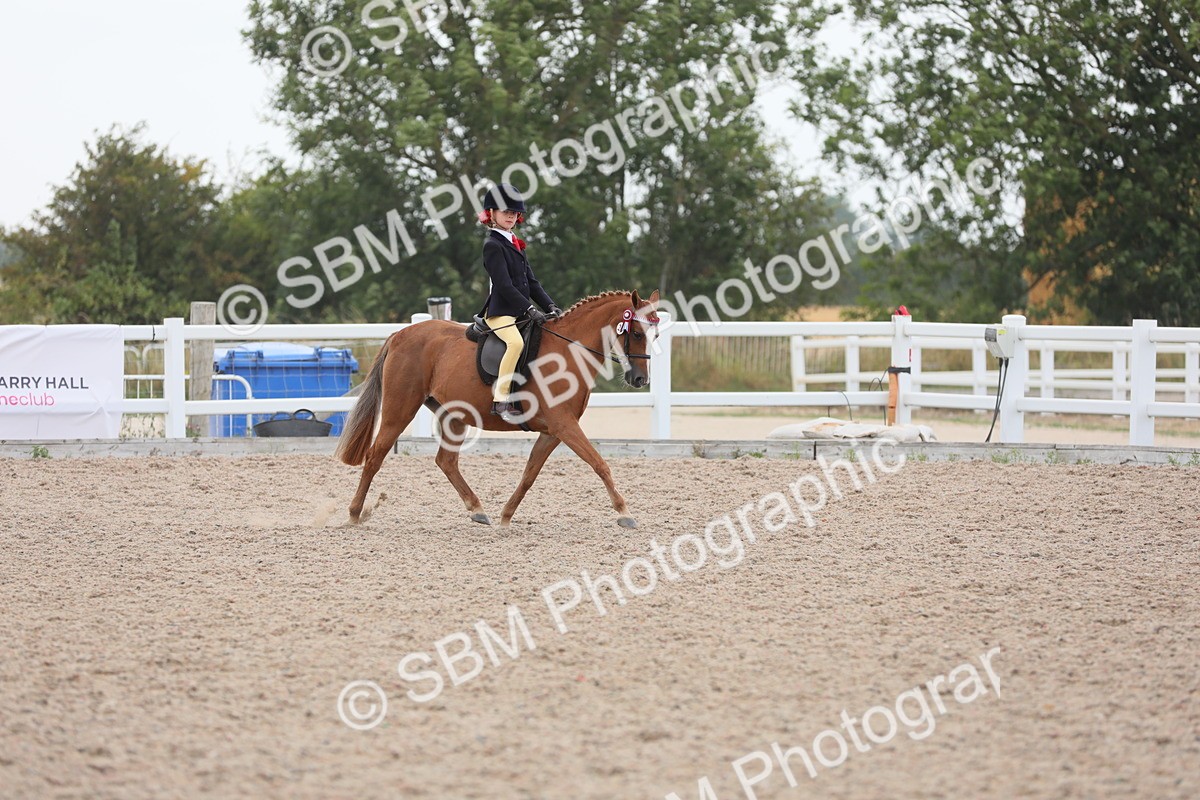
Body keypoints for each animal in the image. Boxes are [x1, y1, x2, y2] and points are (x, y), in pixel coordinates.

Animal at [336, 290, 661, 528]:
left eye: (655, 335)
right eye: (636, 333)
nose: (640, 379)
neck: (569, 351)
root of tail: (399, 335)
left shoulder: (553, 430)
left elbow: (529, 475)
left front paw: (506, 516)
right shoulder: (564, 425)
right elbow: (599, 463)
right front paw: (625, 513)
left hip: (453, 415)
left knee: (446, 461)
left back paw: (478, 509)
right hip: (400, 410)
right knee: (375, 456)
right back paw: (354, 514)